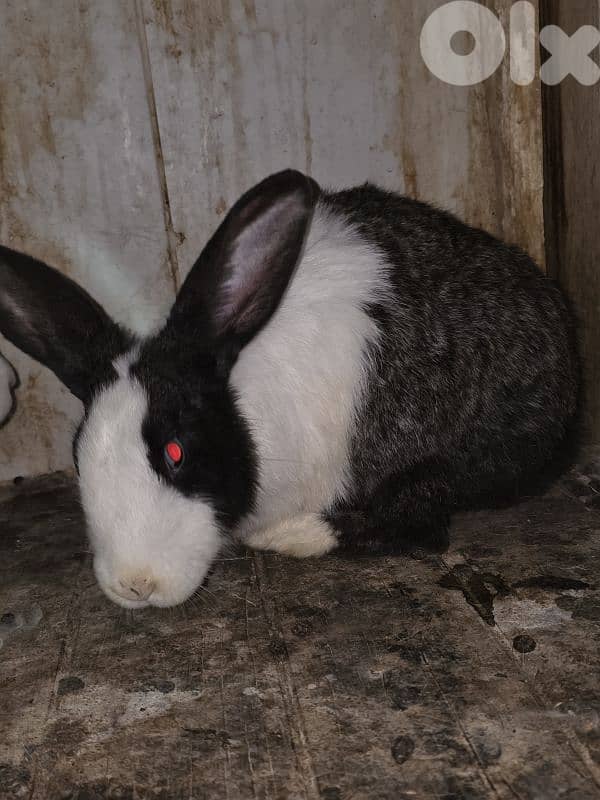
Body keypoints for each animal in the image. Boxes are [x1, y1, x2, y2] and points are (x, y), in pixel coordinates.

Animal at [0, 170, 579, 608]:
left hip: (464, 456)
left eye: (175, 452)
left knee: (420, 518)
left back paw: (292, 535)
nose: (135, 583)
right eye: (78, 460)